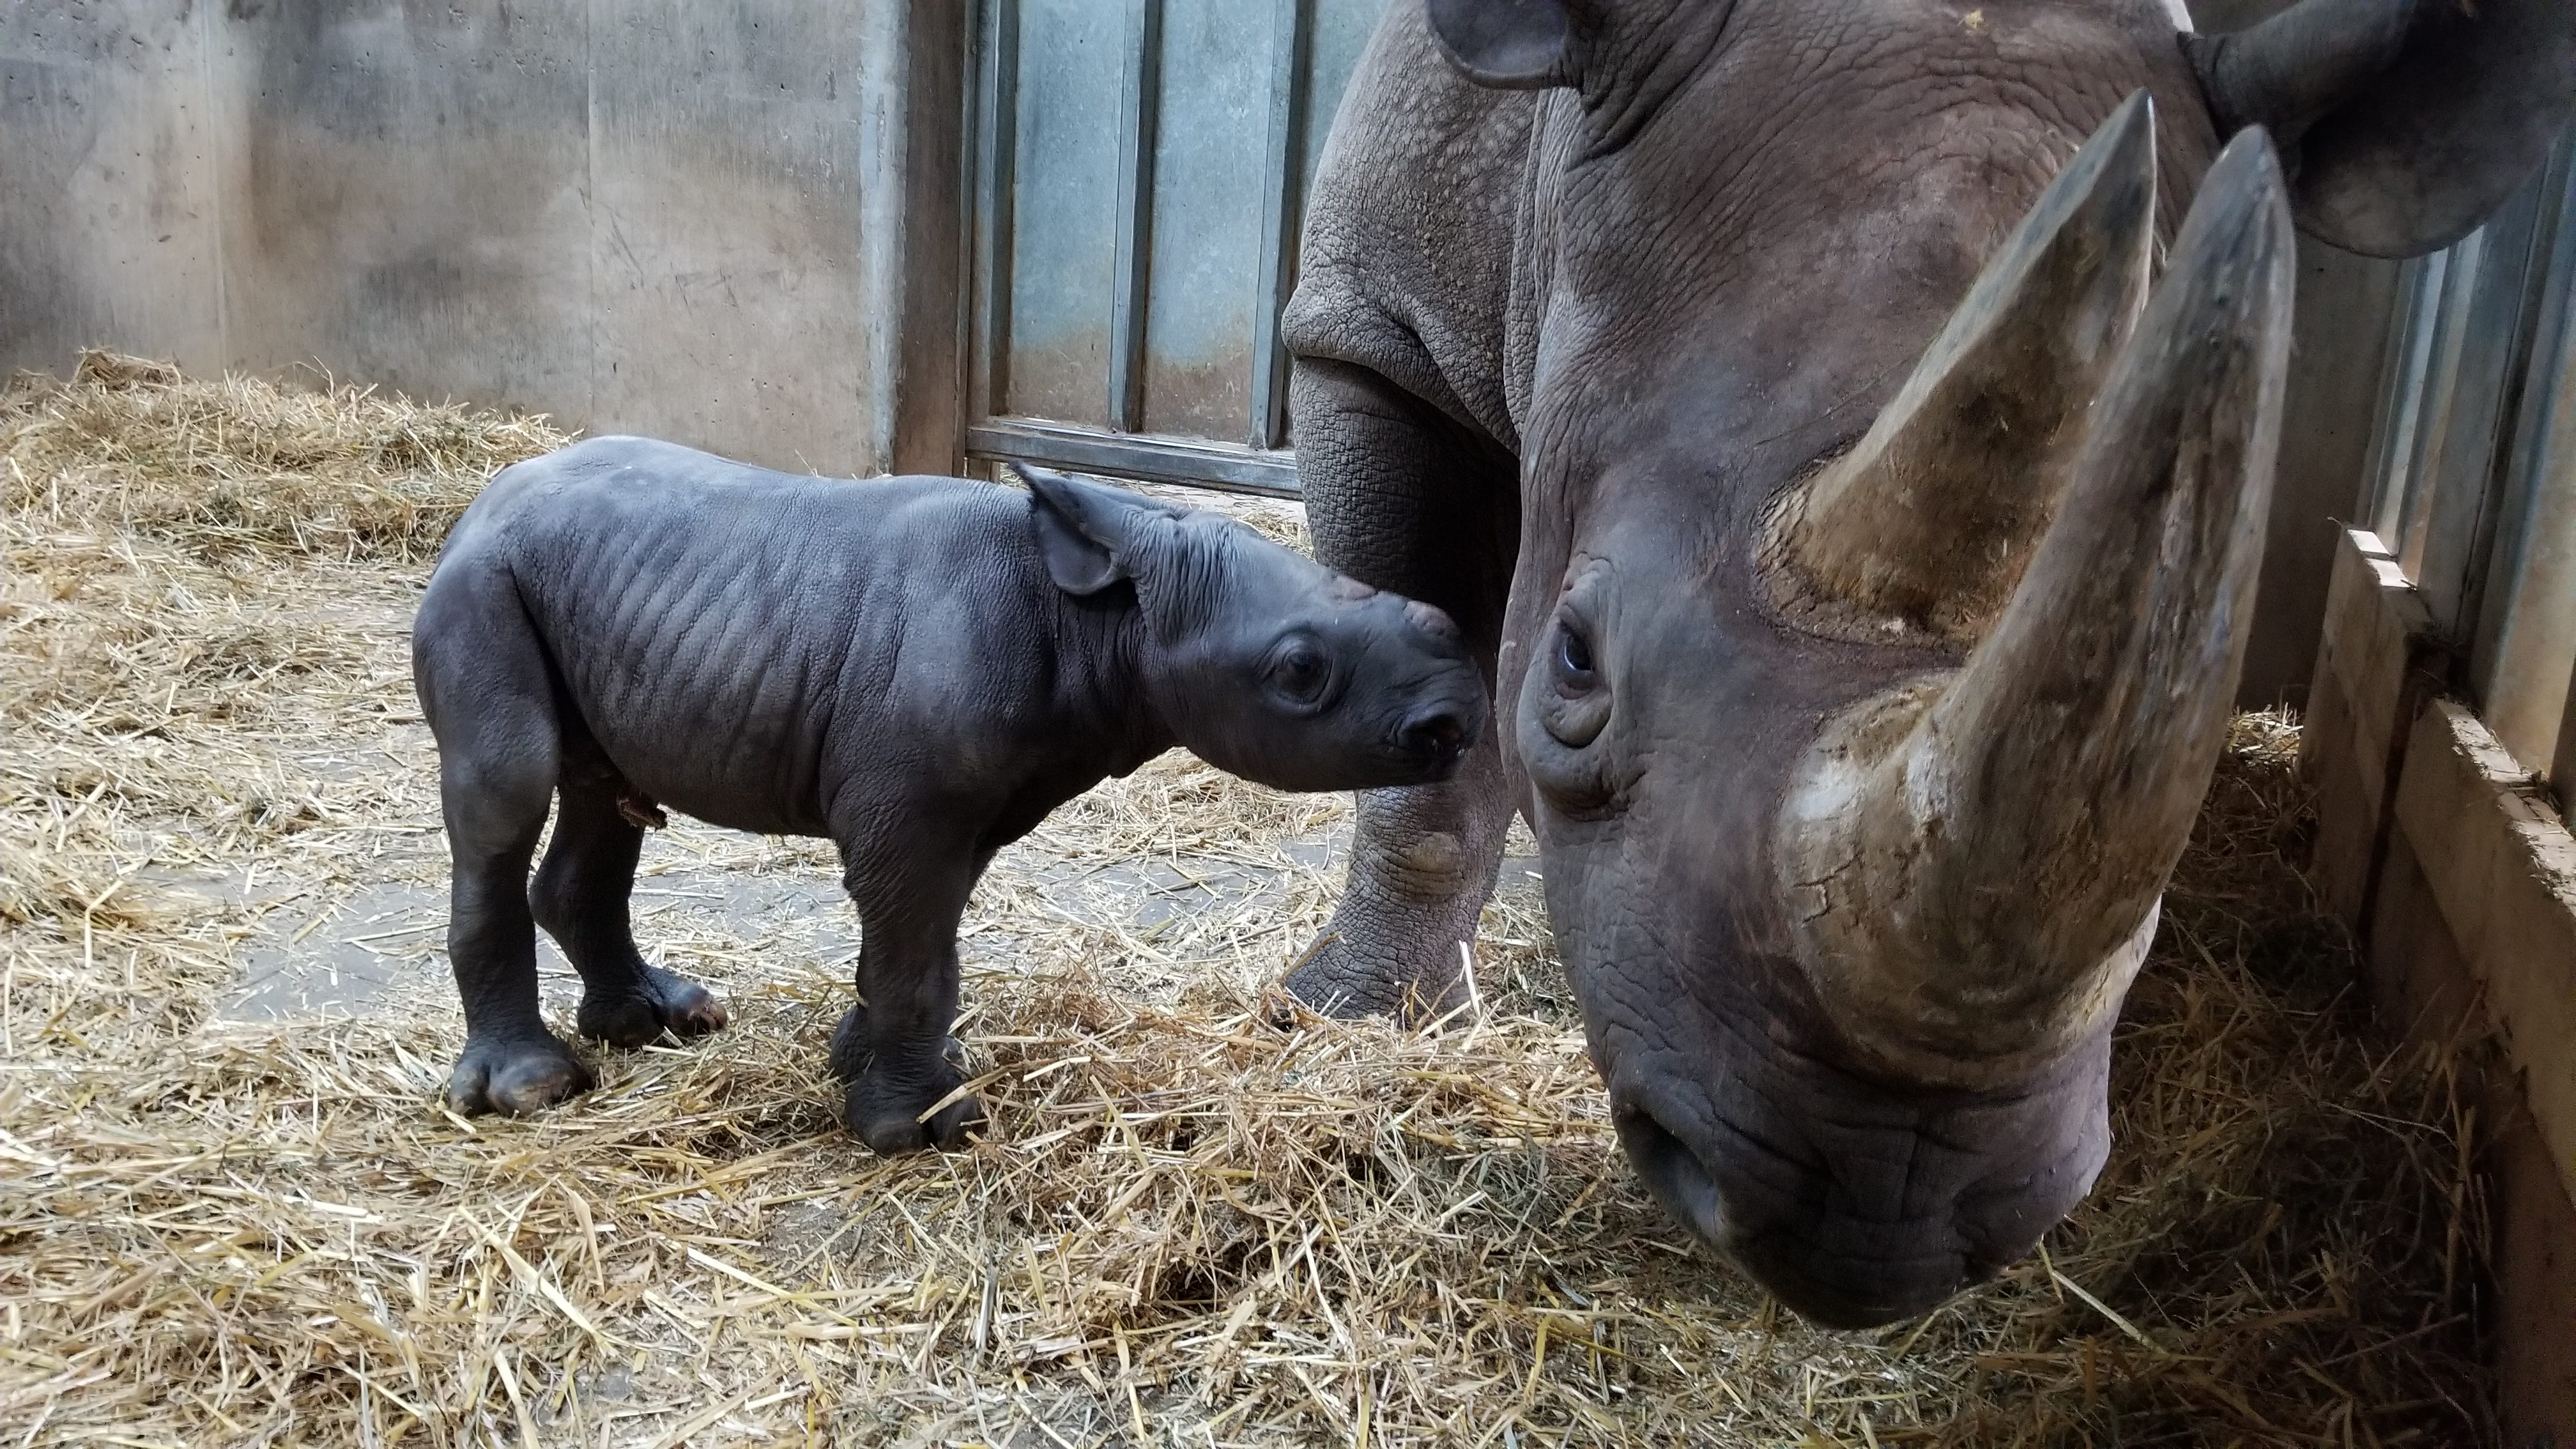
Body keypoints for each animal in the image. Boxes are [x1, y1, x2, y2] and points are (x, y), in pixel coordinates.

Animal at [412, 433, 1483, 1144]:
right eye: (1299, 673)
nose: (1454, 724)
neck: (1107, 616)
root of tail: (481, 501)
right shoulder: (911, 808)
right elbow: (916, 952)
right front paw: (922, 1129)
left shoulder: (973, 806)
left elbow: (916, 942)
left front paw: (858, 1062)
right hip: (482, 584)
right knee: (506, 786)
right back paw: (537, 1090)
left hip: (596, 593)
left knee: (605, 794)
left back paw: (658, 1024)